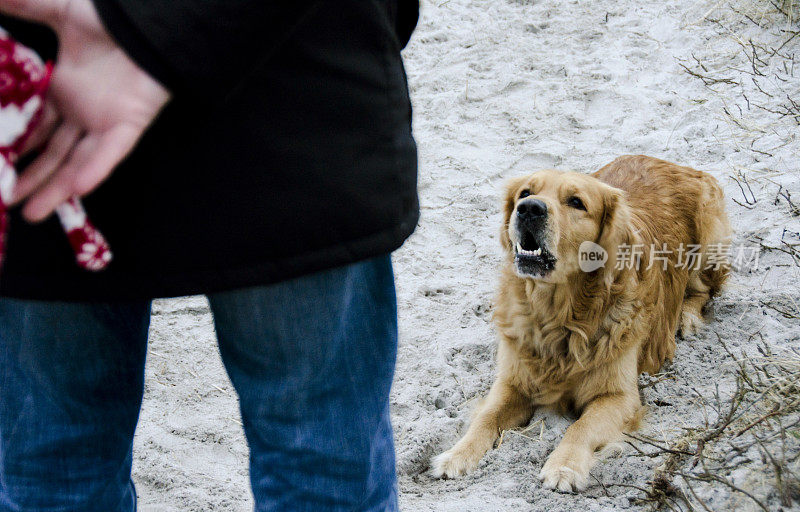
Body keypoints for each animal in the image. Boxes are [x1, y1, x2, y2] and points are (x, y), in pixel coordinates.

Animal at [432, 154, 732, 490]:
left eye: (576, 202)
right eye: (525, 193)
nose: (529, 208)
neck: (559, 312)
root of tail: (675, 164)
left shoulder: (619, 396)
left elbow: (581, 427)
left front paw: (564, 466)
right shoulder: (512, 379)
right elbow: (486, 417)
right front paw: (457, 455)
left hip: (707, 241)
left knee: (705, 289)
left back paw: (688, 319)